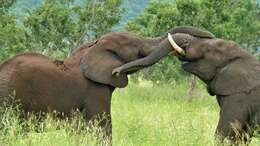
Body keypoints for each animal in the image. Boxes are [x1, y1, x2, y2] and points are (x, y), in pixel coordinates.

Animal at [113, 30, 260, 144]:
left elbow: (225, 134)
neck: (245, 57)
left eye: (208, 50)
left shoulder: (239, 98)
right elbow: (242, 137)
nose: (116, 72)